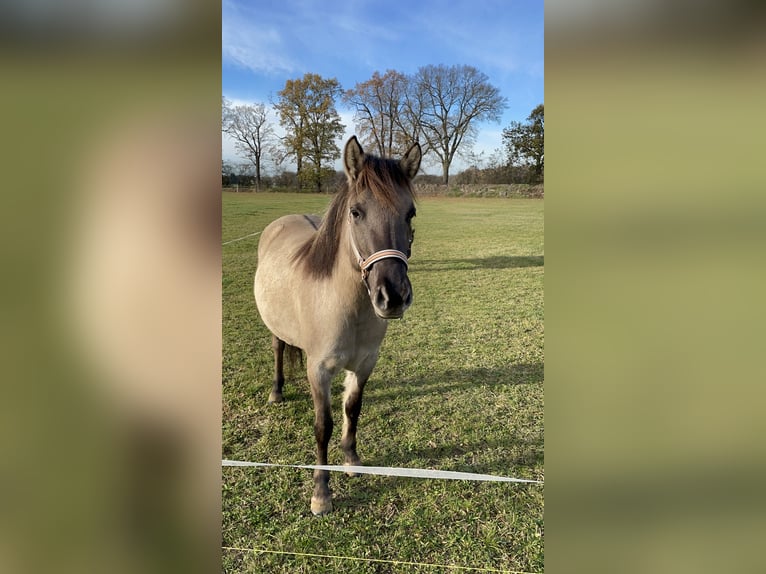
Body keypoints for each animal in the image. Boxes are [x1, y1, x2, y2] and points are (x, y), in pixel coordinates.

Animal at [255, 136, 424, 516]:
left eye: (410, 214)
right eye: (356, 212)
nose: (392, 296)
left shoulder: (364, 364)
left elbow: (352, 409)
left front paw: (351, 460)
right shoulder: (318, 369)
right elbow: (324, 425)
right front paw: (321, 492)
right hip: (276, 330)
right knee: (277, 349)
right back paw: (276, 391)